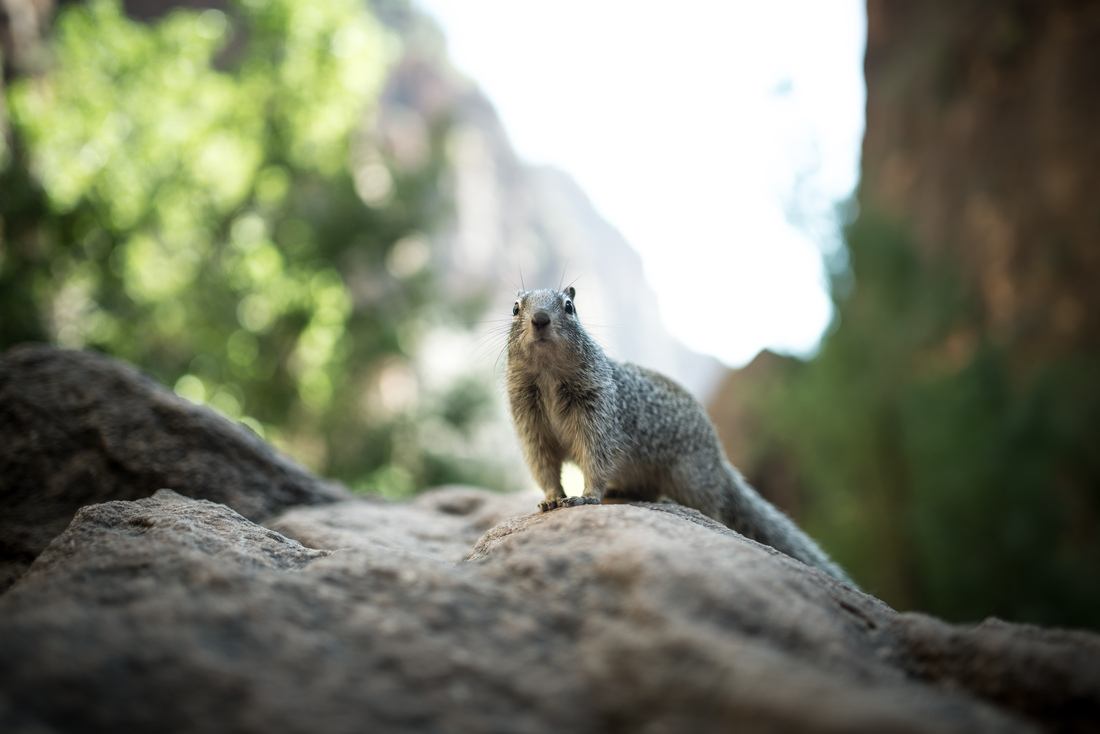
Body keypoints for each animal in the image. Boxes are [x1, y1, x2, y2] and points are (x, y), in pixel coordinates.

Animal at [505, 286, 852, 583]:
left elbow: (596, 459)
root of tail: (720, 460)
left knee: (713, 508)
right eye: (515, 307)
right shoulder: (531, 428)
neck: (549, 377)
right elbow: (544, 466)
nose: (540, 319)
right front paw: (551, 499)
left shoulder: (599, 418)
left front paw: (586, 496)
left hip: (693, 480)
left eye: (569, 306)